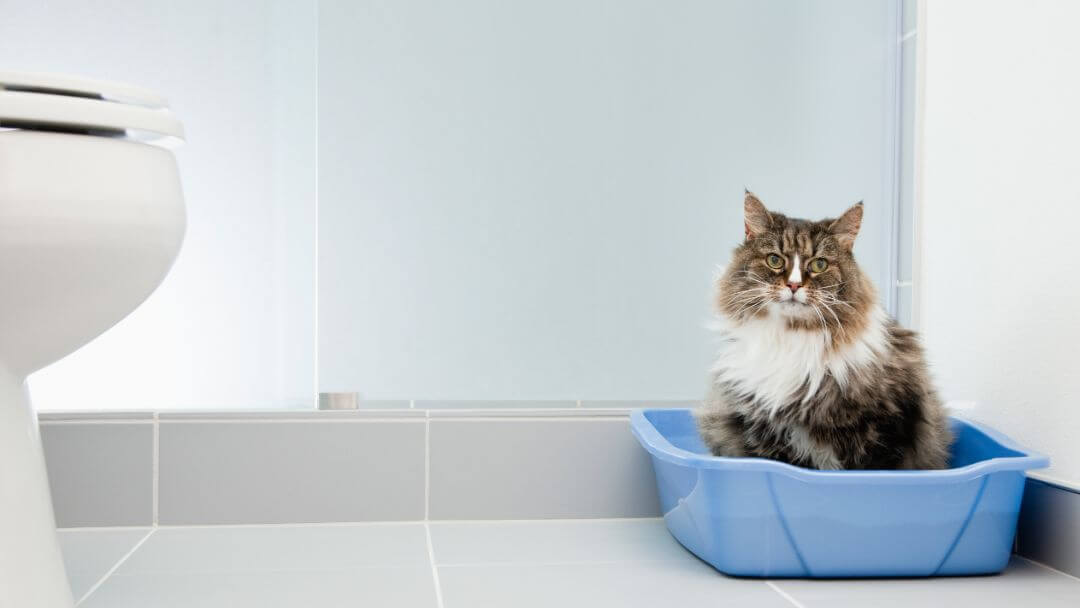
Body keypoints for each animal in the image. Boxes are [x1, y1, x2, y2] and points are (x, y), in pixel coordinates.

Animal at [695, 190, 950, 470]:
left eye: (819, 265)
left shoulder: (886, 431)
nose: (794, 285)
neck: (792, 337)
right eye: (774, 260)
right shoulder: (764, 433)